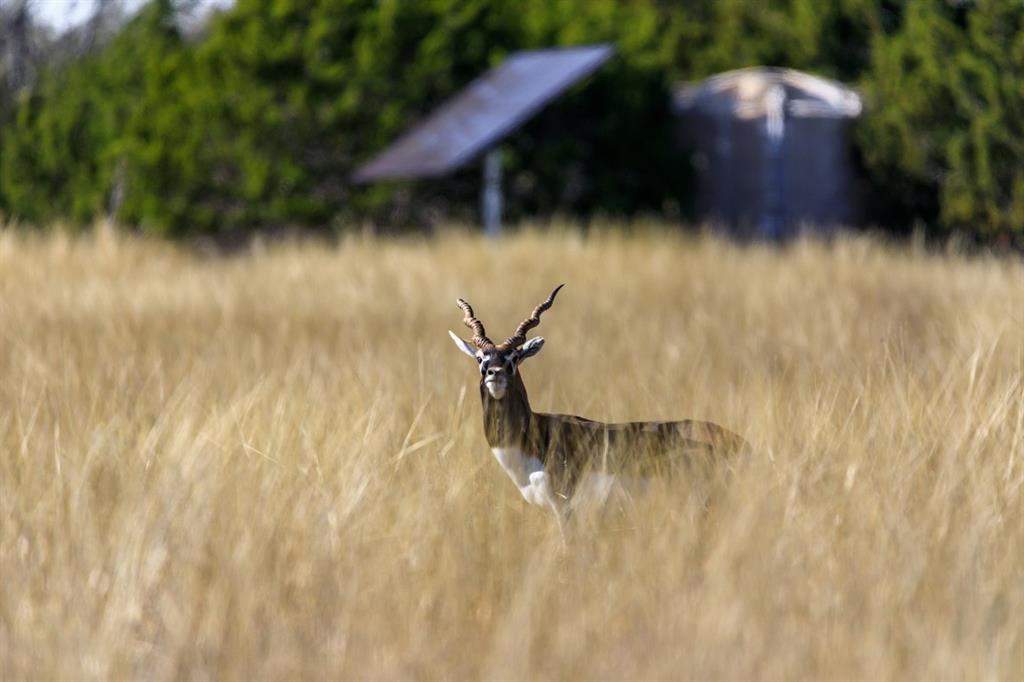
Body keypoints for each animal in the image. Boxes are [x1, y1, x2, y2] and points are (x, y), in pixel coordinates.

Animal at [448, 280, 745, 532]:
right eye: (480, 358)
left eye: (514, 357)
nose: (495, 373)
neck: (537, 436)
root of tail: (741, 444)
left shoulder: (565, 510)